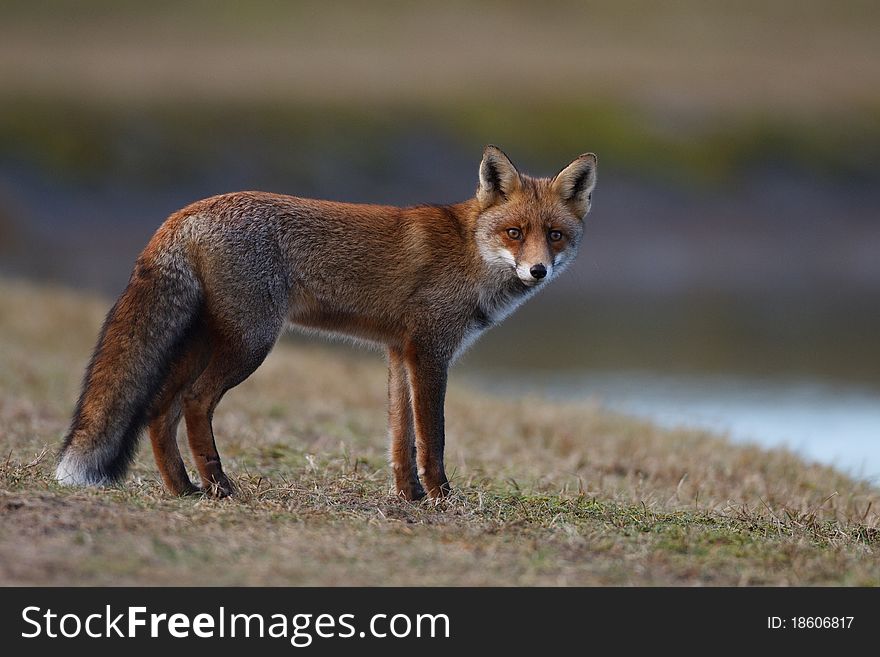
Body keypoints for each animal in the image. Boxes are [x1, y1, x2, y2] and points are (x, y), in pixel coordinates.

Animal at [56, 146, 600, 500]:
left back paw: (182, 488)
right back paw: (219, 486)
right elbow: (433, 437)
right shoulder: (429, 351)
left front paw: (410, 498)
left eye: (554, 235)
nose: (538, 270)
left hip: (206, 342)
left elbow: (400, 436)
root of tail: (185, 211)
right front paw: (443, 498)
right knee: (193, 402)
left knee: (157, 408)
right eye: (515, 233)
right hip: (250, 343)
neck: (471, 254)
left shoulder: (399, 352)